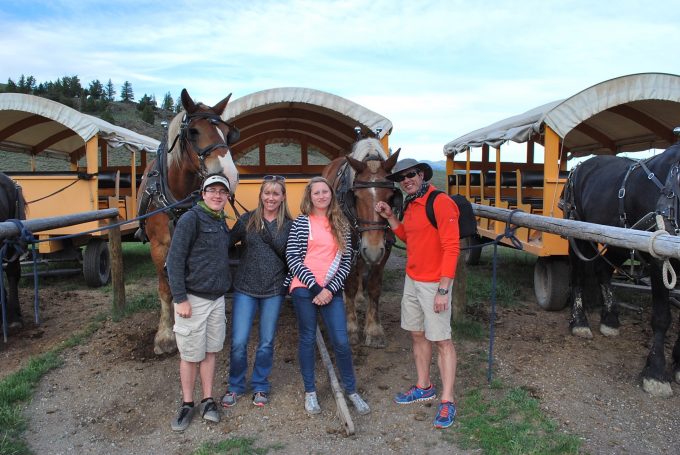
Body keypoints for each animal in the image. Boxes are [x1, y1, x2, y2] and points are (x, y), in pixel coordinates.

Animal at [137, 89, 239, 356]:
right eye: (193, 131)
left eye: (227, 133)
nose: (229, 175)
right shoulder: (160, 246)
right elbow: (165, 289)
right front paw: (164, 336)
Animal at [322, 137, 402, 348]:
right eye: (356, 197)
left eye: (390, 196)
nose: (372, 250)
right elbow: (349, 284)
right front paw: (350, 328)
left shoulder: (384, 249)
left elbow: (374, 287)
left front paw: (374, 330)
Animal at [564, 144, 680, 398]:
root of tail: (580, 166)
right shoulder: (659, 259)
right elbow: (662, 317)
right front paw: (655, 372)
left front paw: (678, 365)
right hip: (579, 230)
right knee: (578, 273)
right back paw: (579, 322)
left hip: (621, 240)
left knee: (602, 269)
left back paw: (610, 318)